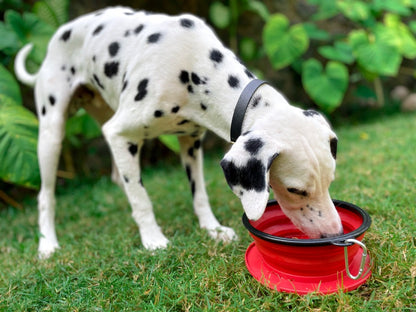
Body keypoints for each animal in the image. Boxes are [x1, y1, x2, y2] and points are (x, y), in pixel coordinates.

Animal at [14, 6, 342, 258]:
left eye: (330, 182)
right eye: (295, 190)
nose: (335, 233)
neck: (194, 64)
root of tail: (60, 32)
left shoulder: (191, 142)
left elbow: (199, 194)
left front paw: (212, 228)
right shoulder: (121, 134)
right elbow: (141, 198)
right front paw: (152, 239)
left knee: (118, 177)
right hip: (51, 136)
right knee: (46, 195)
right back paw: (48, 244)